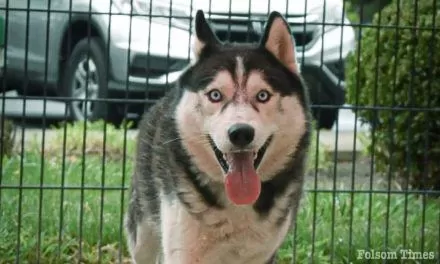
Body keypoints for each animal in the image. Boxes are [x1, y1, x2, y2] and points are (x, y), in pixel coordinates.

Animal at [124, 9, 312, 262]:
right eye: (215, 95)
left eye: (263, 95)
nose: (241, 133)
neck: (238, 204)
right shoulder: (183, 250)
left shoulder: (262, 254)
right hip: (143, 235)